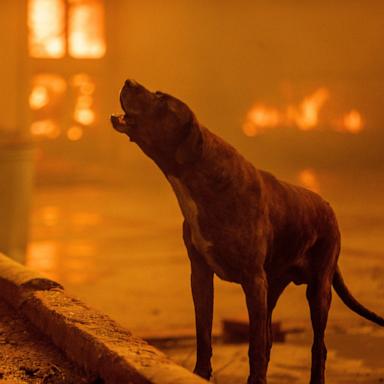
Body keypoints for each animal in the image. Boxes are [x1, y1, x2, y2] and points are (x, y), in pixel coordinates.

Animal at [109, 79, 382, 382]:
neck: (200, 177)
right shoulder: (201, 274)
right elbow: (204, 331)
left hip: (318, 290)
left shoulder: (253, 280)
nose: (129, 81)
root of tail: (329, 207)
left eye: (161, 98)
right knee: (269, 335)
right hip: (273, 287)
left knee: (316, 345)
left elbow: (255, 345)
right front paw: (201, 373)